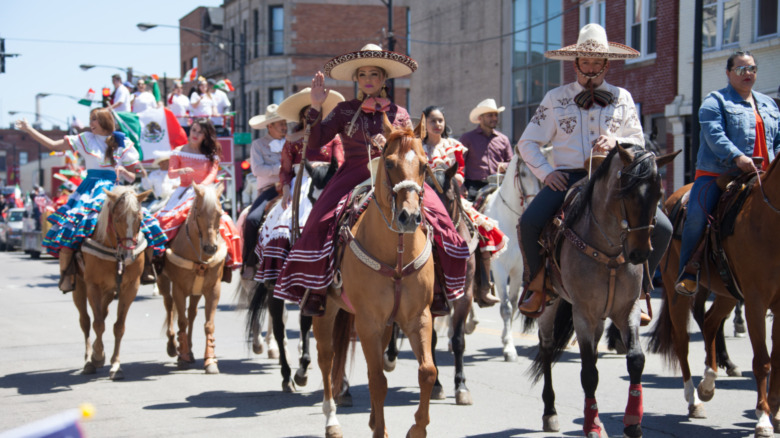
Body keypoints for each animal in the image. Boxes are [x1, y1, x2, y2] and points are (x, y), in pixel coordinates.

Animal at [72, 185, 152, 380]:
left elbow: (119, 326)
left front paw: (115, 365)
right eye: (117, 219)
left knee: (103, 313)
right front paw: (97, 356)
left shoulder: (130, 287)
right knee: (86, 320)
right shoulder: (93, 286)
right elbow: (98, 324)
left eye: (140, 220)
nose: (128, 255)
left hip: (108, 291)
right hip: (79, 287)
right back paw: (89, 359)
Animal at [157, 183, 227, 374]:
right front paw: (182, 356)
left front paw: (210, 360)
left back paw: (190, 350)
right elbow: (181, 321)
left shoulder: (213, 290)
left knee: (192, 314)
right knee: (169, 306)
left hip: (196, 292)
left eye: (219, 213)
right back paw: (174, 347)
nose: (210, 248)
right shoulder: (179, 289)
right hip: (163, 283)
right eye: (199, 213)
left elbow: (208, 325)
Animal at [316, 116, 438, 438]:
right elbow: (377, 381)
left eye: (424, 165)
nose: (409, 217)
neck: (396, 253)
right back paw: (331, 420)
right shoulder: (367, 321)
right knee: (326, 357)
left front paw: (417, 428)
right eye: (390, 162)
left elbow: (427, 372)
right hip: (325, 310)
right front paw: (380, 431)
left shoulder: (418, 316)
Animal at [482, 149, 548, 362]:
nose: (532, 203)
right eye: (524, 173)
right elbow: (505, 308)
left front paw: (507, 342)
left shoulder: (519, 270)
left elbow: (512, 305)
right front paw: (509, 349)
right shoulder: (500, 269)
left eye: (541, 177)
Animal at [648, 156, 780, 436]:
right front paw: (763, 418)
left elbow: (777, 358)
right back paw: (694, 399)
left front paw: (775, 412)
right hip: (677, 291)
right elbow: (762, 361)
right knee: (682, 342)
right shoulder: (755, 302)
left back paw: (709, 381)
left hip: (727, 292)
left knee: (709, 322)